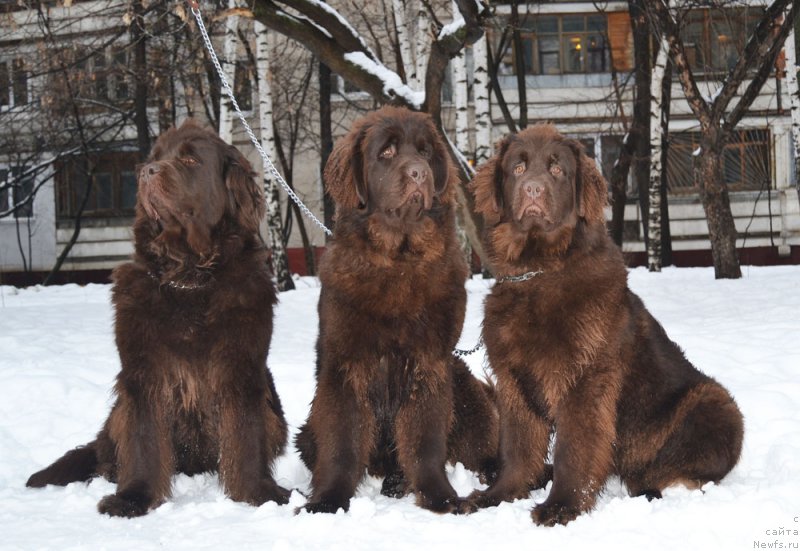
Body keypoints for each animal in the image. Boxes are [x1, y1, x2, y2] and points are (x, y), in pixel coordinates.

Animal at [26, 119, 290, 516]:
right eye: (154, 157)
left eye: (191, 159)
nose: (146, 172)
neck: (190, 276)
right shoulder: (144, 372)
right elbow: (144, 439)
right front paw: (133, 497)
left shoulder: (242, 368)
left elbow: (247, 434)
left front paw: (258, 493)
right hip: (117, 410)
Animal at [294, 105, 496, 516]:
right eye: (386, 152)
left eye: (424, 152)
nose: (418, 172)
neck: (398, 260)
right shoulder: (345, 364)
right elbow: (342, 442)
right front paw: (327, 502)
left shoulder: (429, 362)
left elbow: (424, 441)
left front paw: (441, 498)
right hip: (306, 432)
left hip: (462, 381)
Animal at [468, 124, 744, 528]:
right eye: (517, 169)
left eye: (557, 170)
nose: (533, 189)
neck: (539, 271)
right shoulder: (513, 381)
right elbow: (518, 447)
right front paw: (498, 496)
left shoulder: (585, 380)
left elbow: (573, 449)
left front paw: (561, 506)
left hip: (714, 402)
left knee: (677, 470)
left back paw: (651, 484)